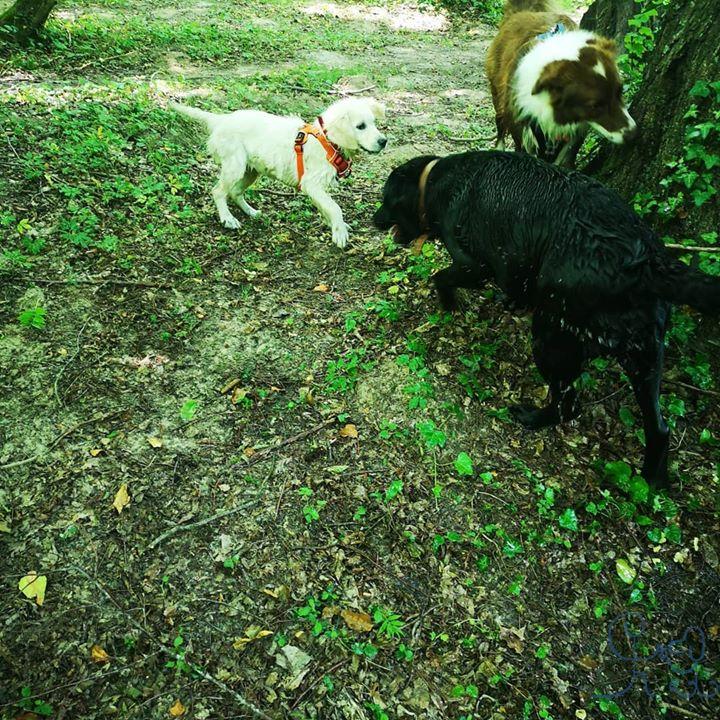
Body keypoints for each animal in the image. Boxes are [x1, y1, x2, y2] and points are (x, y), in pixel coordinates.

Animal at [170, 97, 388, 248]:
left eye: (374, 123)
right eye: (360, 126)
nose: (383, 141)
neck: (327, 141)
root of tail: (221, 120)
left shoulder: (317, 189)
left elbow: (326, 207)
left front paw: (337, 226)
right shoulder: (311, 184)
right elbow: (335, 208)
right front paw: (339, 233)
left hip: (251, 170)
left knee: (235, 192)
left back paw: (251, 211)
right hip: (235, 165)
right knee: (218, 191)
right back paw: (228, 218)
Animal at [372, 152, 720, 490]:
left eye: (385, 198)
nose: (374, 220)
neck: (434, 181)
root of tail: (646, 262)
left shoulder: (475, 265)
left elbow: (440, 277)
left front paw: (448, 303)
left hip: (552, 335)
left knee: (568, 404)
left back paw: (531, 418)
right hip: (644, 358)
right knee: (659, 428)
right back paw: (650, 484)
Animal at [486, 0, 640, 166]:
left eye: (620, 91)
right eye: (594, 106)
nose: (633, 135)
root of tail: (524, 12)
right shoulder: (522, 125)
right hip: (497, 92)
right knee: (500, 122)